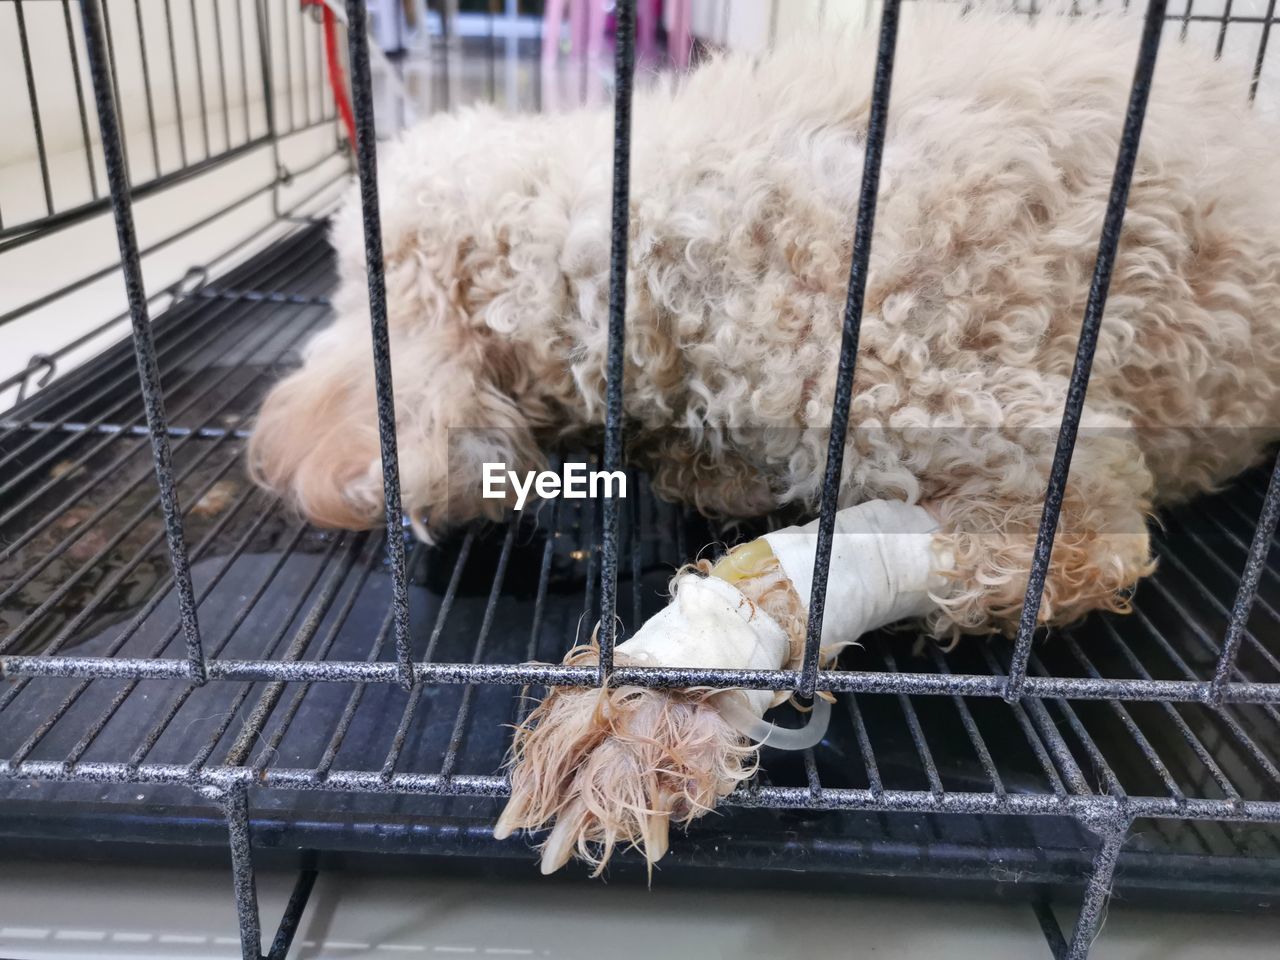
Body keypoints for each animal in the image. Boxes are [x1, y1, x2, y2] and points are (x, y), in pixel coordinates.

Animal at [252, 5, 1280, 870]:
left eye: (350, 290)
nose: (275, 462)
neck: (654, 254)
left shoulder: (1048, 484)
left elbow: (824, 568)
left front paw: (656, 713)